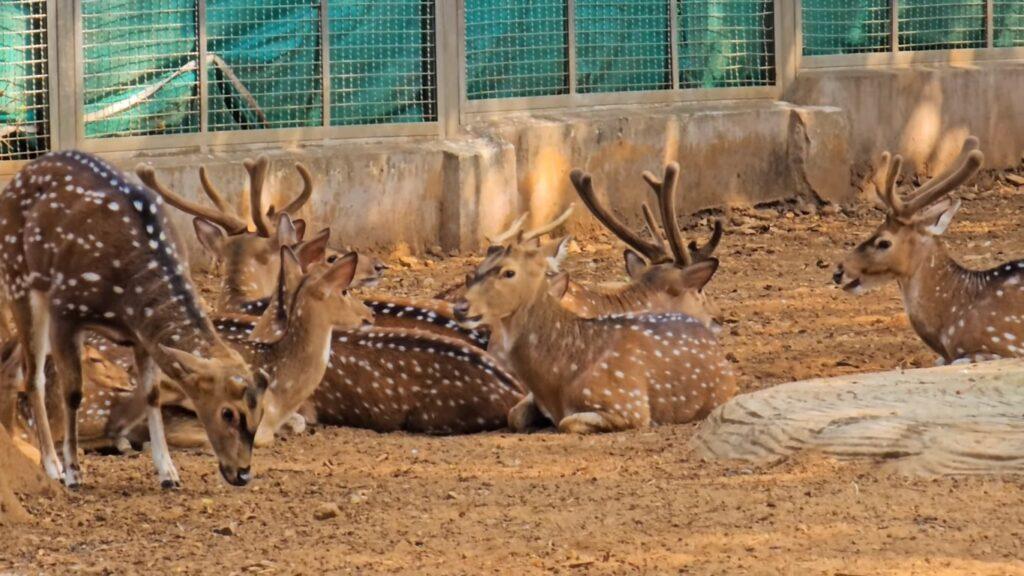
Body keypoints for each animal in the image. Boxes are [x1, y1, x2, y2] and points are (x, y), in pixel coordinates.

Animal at [0, 148, 268, 483]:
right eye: (227, 412)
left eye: (260, 411)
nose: (242, 473)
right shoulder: (66, 309)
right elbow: (72, 392)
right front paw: (73, 472)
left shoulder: (142, 334)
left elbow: (151, 393)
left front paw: (168, 472)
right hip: (19, 280)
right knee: (32, 373)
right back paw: (52, 466)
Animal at [452, 228, 733, 430]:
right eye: (476, 270)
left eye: (509, 272)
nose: (461, 307)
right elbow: (517, 416)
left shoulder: (630, 405)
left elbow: (566, 422)